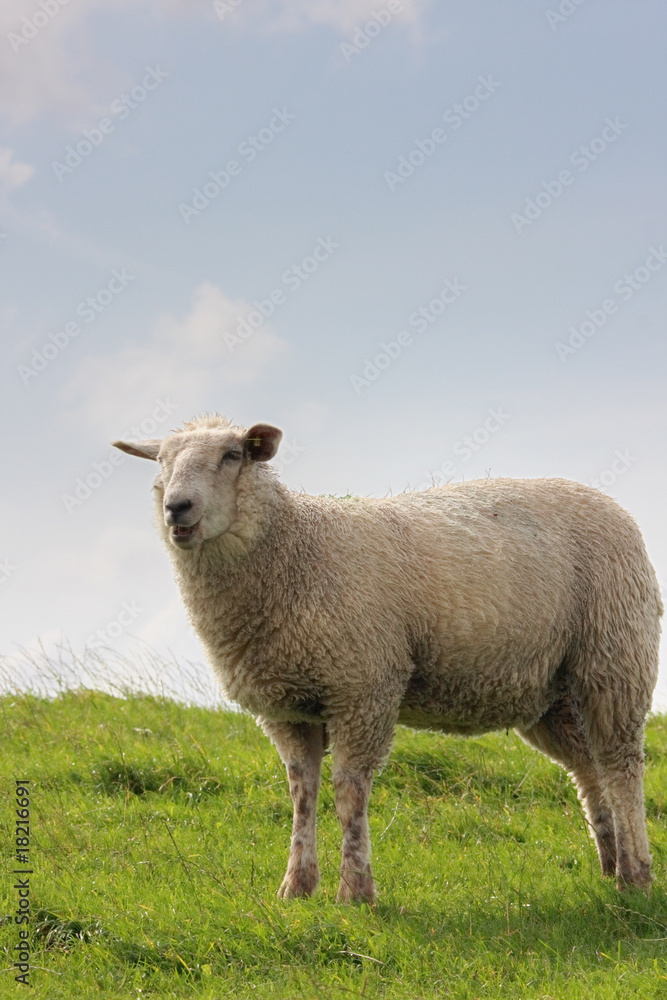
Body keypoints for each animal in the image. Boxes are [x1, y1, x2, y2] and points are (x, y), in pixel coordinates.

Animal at [113, 412, 664, 900]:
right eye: (160, 460)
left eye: (233, 455)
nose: (177, 508)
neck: (296, 549)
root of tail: (607, 501)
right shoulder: (288, 707)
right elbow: (302, 793)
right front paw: (296, 887)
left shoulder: (364, 687)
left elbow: (349, 791)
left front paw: (355, 890)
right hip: (553, 693)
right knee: (589, 772)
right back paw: (611, 865)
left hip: (614, 657)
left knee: (621, 766)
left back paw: (636, 876)